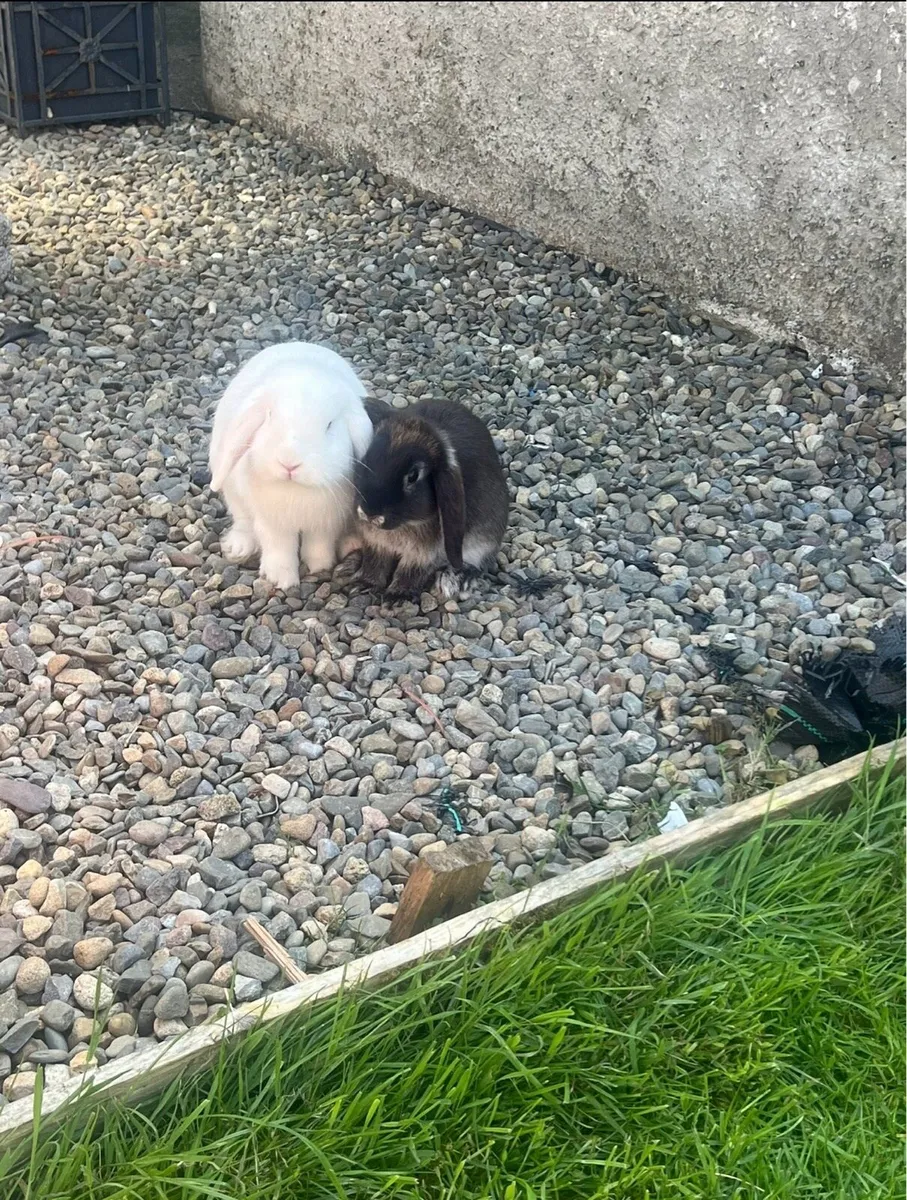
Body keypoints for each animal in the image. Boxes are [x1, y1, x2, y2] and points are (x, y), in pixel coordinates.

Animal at [208, 341, 374, 590]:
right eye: (269, 416)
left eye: (330, 425)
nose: (289, 462)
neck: (296, 489)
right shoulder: (272, 523)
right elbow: (279, 547)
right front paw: (281, 579)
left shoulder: (326, 523)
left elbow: (318, 544)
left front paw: (320, 565)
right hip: (234, 494)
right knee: (242, 520)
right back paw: (238, 547)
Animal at [341, 397, 509, 598]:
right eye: (366, 458)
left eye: (413, 476)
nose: (369, 514)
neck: (407, 524)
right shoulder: (376, 543)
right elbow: (375, 563)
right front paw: (363, 584)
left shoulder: (425, 554)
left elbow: (411, 571)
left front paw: (397, 596)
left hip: (484, 538)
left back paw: (455, 579)